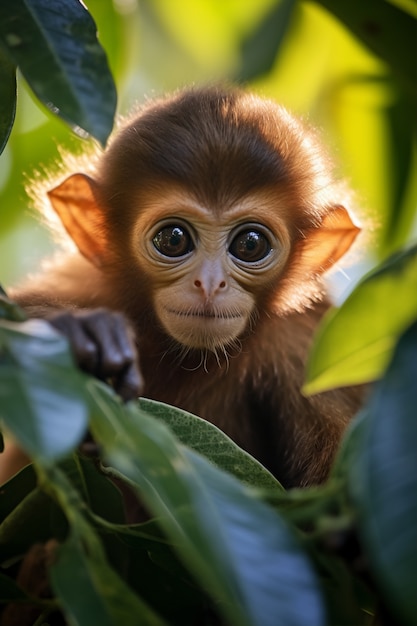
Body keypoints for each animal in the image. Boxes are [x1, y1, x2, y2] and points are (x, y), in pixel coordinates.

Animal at [9, 85, 360, 486]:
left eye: (250, 244)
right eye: (173, 239)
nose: (209, 284)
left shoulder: (306, 343)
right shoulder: (83, 284)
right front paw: (76, 329)